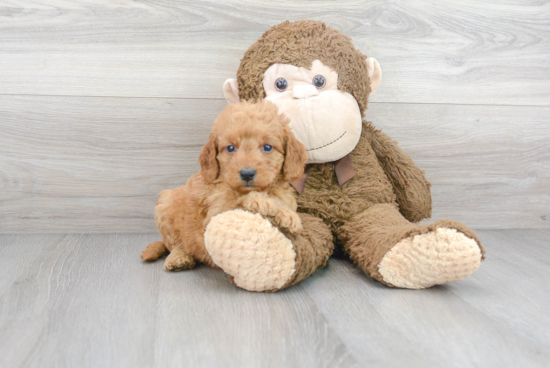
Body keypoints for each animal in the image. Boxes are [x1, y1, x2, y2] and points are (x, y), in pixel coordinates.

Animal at [140, 100, 308, 270]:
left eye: (267, 147)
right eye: (230, 148)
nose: (247, 173)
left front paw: (287, 214)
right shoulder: (216, 214)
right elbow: (242, 200)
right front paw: (273, 207)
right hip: (165, 204)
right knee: (175, 244)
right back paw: (179, 258)